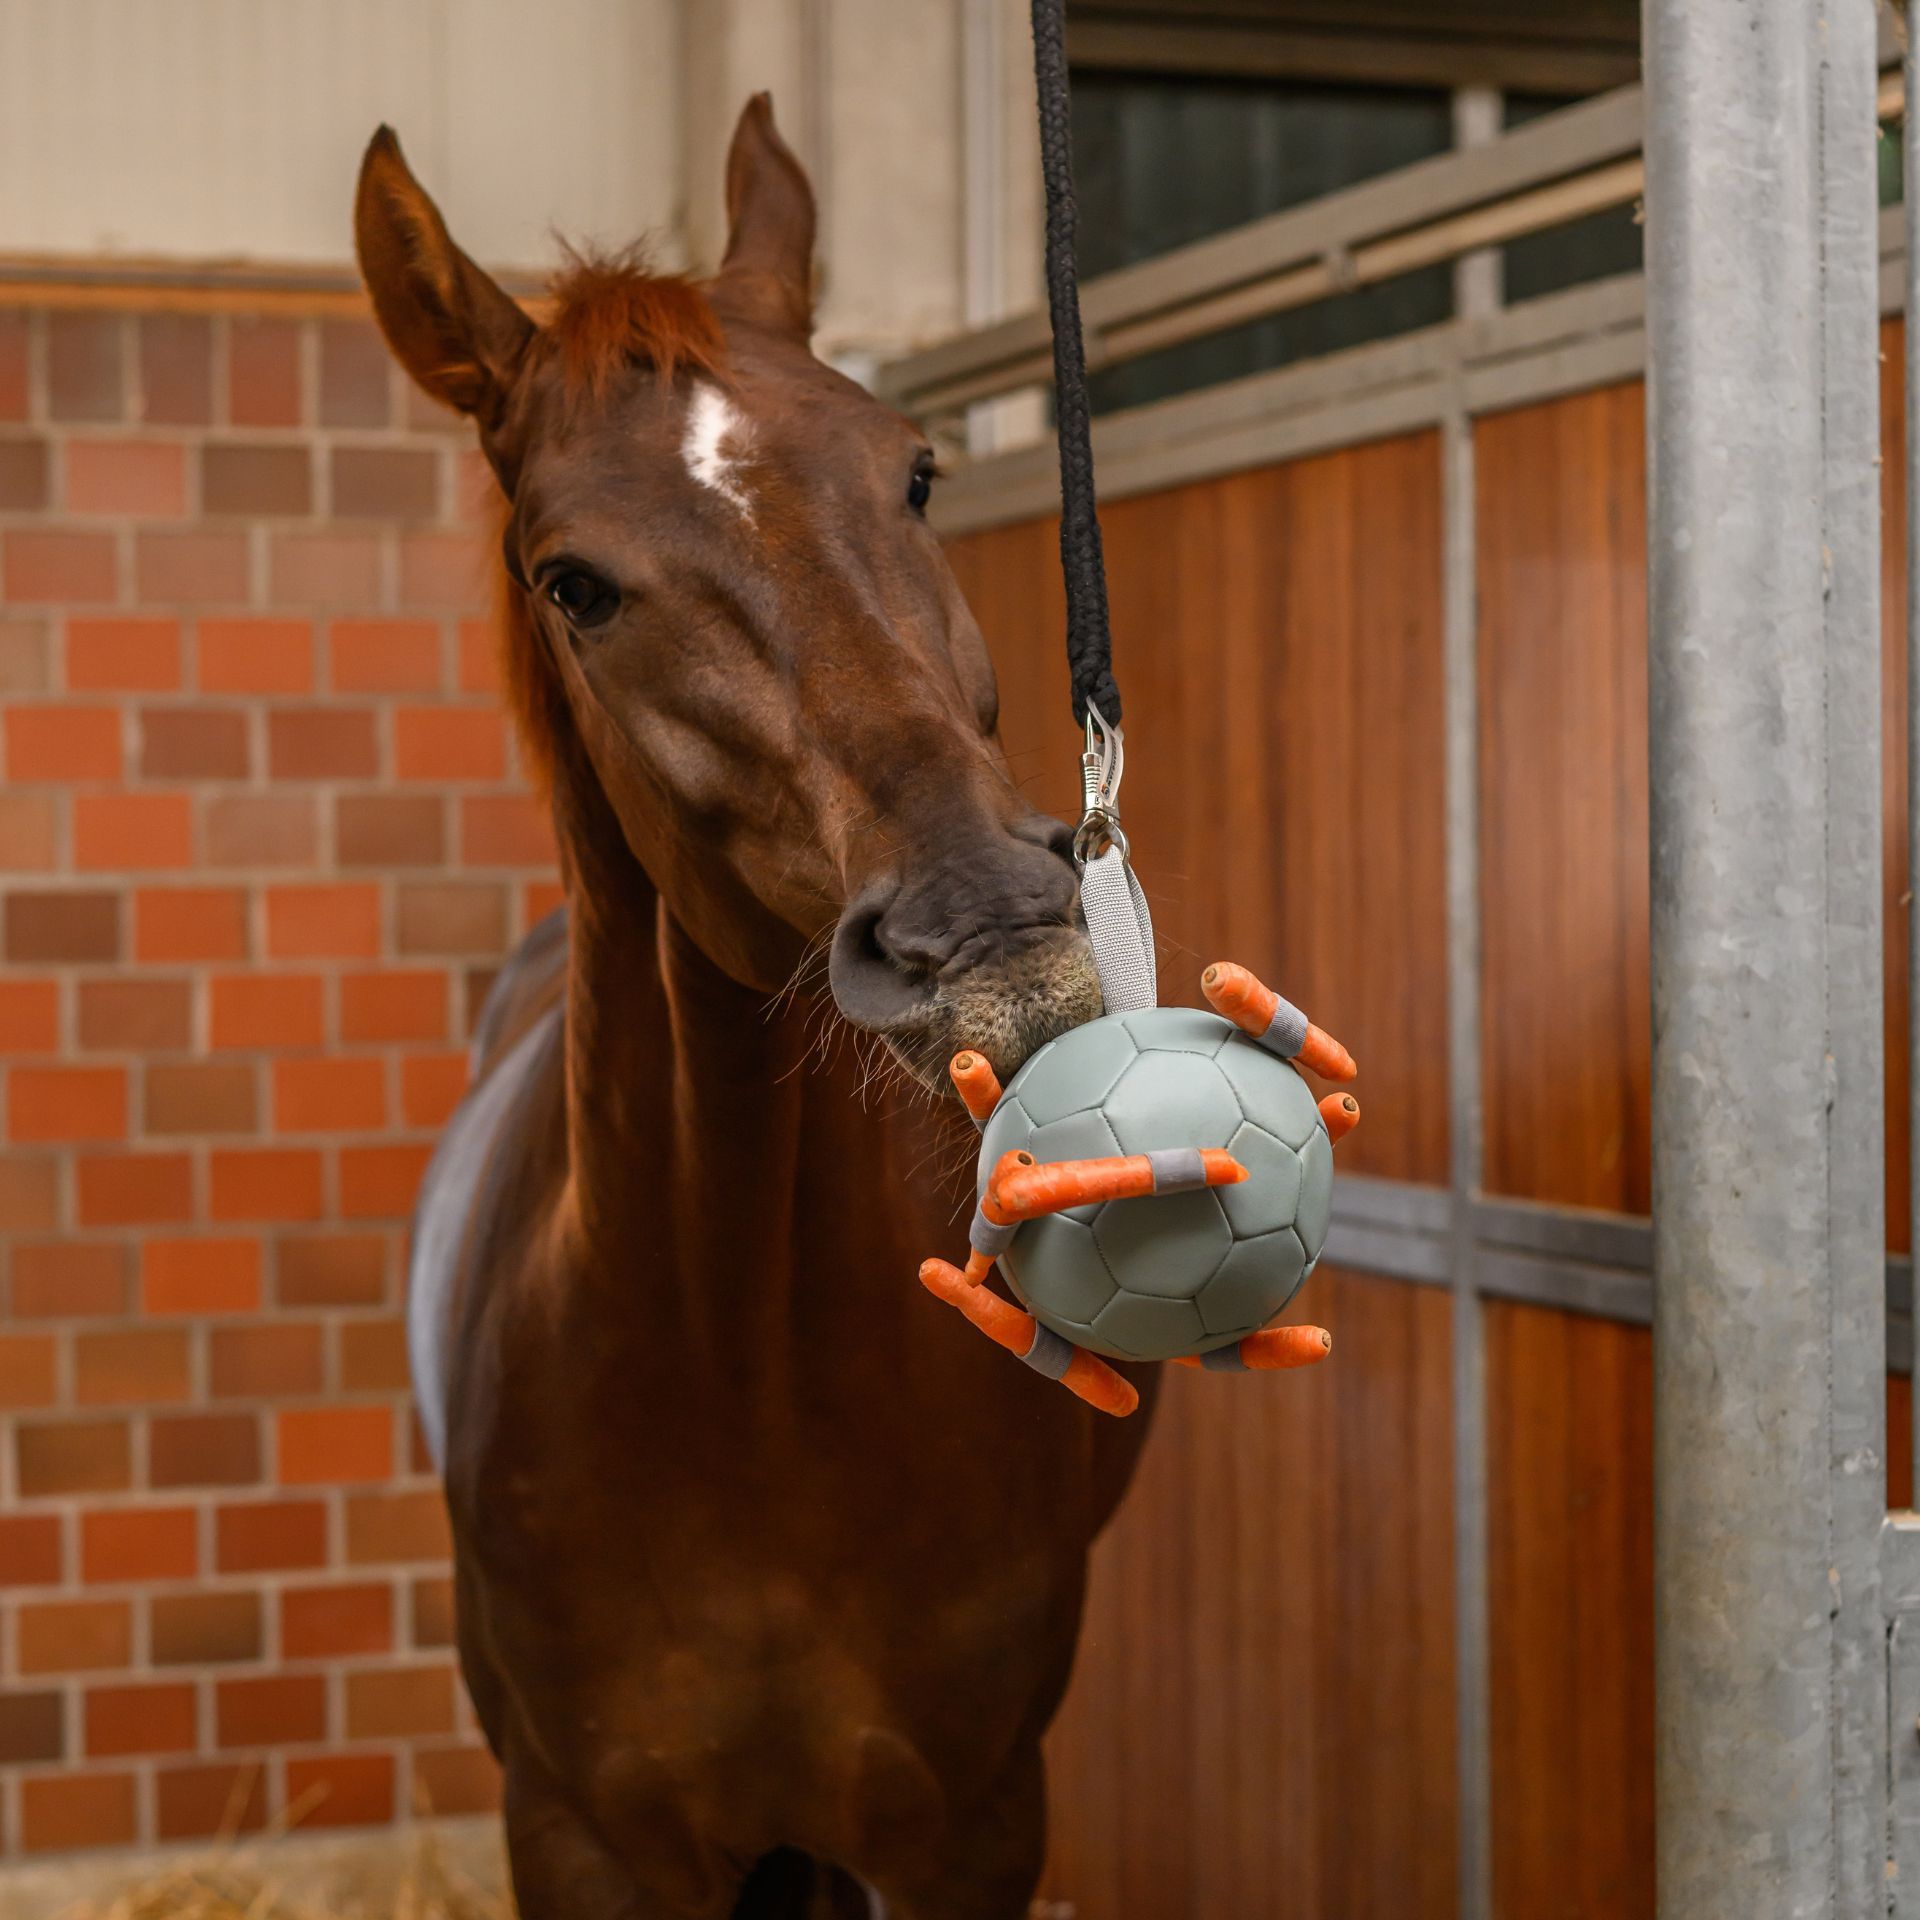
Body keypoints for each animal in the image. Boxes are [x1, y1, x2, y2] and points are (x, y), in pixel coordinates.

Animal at [355, 97, 1155, 1920]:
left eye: (914, 471)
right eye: (572, 582)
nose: (990, 927)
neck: (747, 1385)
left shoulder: (967, 1824)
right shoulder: (580, 1839)